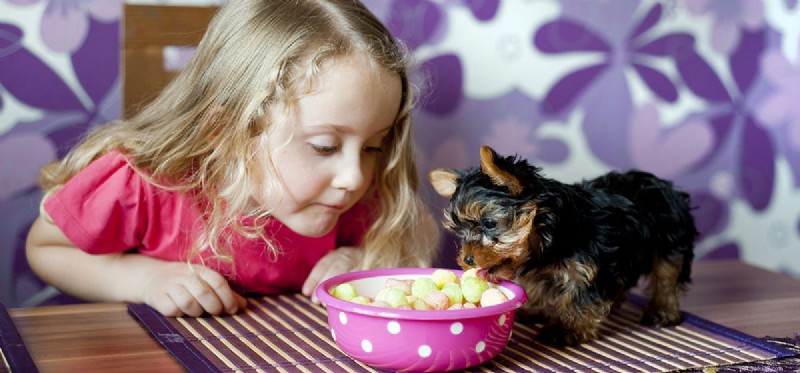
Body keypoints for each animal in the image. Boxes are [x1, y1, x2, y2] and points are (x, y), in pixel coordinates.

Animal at [428, 145, 696, 346]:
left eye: (489, 223)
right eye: (459, 230)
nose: (467, 259)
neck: (551, 238)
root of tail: (663, 184)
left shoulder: (591, 266)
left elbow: (580, 296)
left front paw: (567, 328)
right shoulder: (543, 268)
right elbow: (537, 285)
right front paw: (533, 308)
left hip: (671, 240)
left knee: (667, 276)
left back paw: (662, 310)